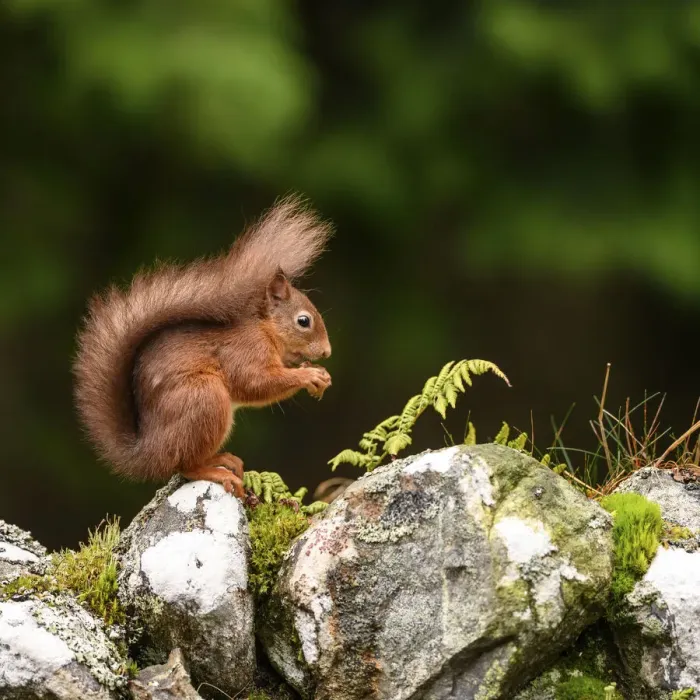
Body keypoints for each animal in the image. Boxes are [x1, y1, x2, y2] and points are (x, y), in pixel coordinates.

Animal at [73, 197, 333, 499]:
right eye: (303, 321)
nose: (327, 352)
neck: (264, 330)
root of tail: (149, 453)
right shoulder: (245, 351)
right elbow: (255, 382)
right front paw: (309, 375)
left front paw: (320, 374)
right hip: (204, 398)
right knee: (186, 467)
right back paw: (217, 472)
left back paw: (223, 459)